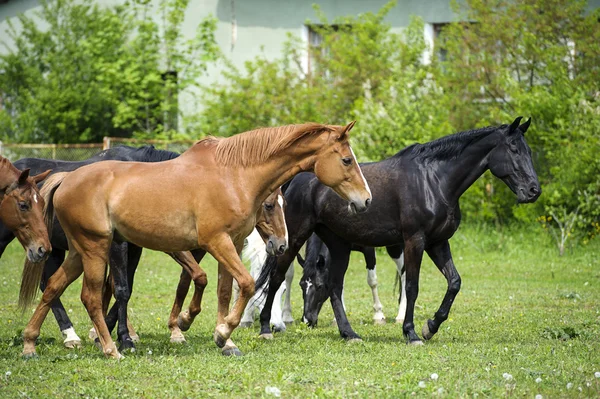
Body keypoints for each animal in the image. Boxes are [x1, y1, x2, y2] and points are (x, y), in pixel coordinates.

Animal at [18, 122, 370, 360]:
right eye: (346, 160)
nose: (366, 200)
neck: (234, 175)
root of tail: (66, 179)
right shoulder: (216, 242)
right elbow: (244, 284)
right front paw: (214, 330)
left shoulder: (231, 243)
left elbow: (224, 290)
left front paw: (224, 341)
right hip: (96, 249)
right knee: (90, 297)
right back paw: (110, 348)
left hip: (79, 252)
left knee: (53, 288)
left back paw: (30, 343)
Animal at [255, 117, 540, 346]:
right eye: (513, 149)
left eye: (528, 150)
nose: (533, 190)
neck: (433, 181)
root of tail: (297, 179)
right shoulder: (415, 241)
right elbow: (412, 286)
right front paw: (411, 333)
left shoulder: (438, 243)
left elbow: (454, 282)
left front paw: (430, 327)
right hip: (294, 239)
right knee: (277, 278)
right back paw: (266, 328)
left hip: (338, 244)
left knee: (335, 286)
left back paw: (349, 334)